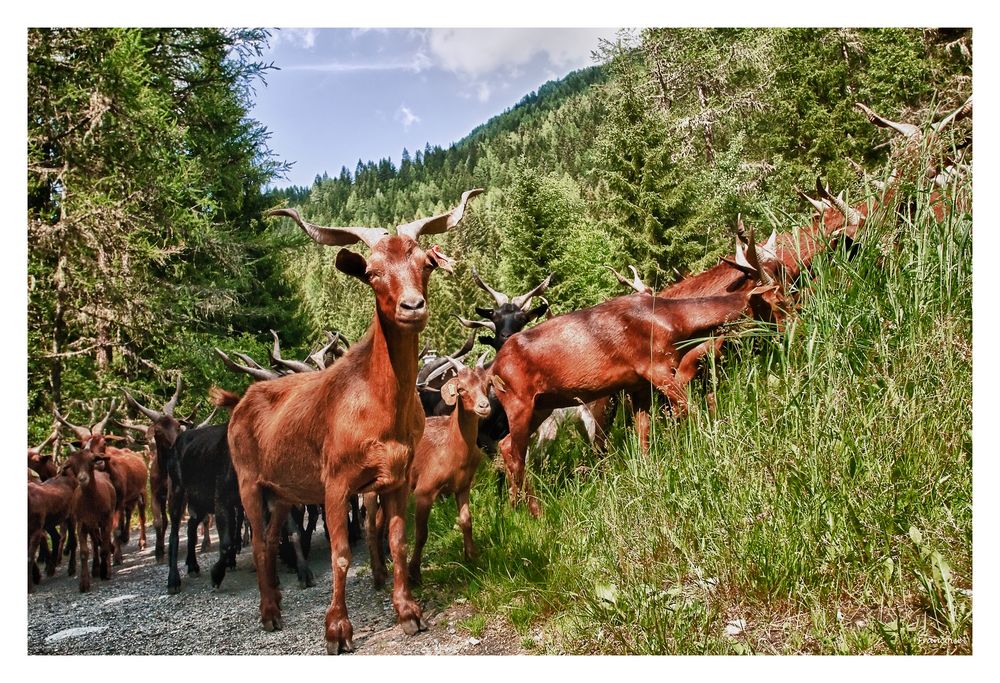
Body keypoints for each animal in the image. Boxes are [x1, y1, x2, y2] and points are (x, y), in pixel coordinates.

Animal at [219, 188, 484, 656]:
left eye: (424, 264)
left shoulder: (396, 478)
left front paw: (408, 612)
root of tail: (243, 400)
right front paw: (337, 631)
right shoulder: (336, 483)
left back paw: (279, 604)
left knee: (271, 537)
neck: (377, 405)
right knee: (259, 540)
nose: (412, 306)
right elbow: (341, 553)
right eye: (373, 273)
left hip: (284, 490)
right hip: (249, 481)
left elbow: (397, 541)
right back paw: (268, 614)